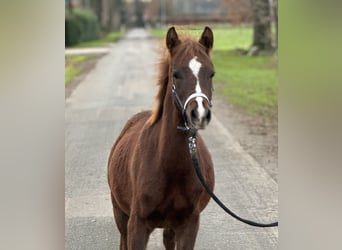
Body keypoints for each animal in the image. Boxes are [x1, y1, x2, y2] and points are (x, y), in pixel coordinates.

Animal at [109, 26, 215, 249]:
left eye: (211, 73)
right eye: (176, 74)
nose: (200, 114)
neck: (169, 165)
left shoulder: (188, 225)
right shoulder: (137, 225)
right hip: (120, 214)